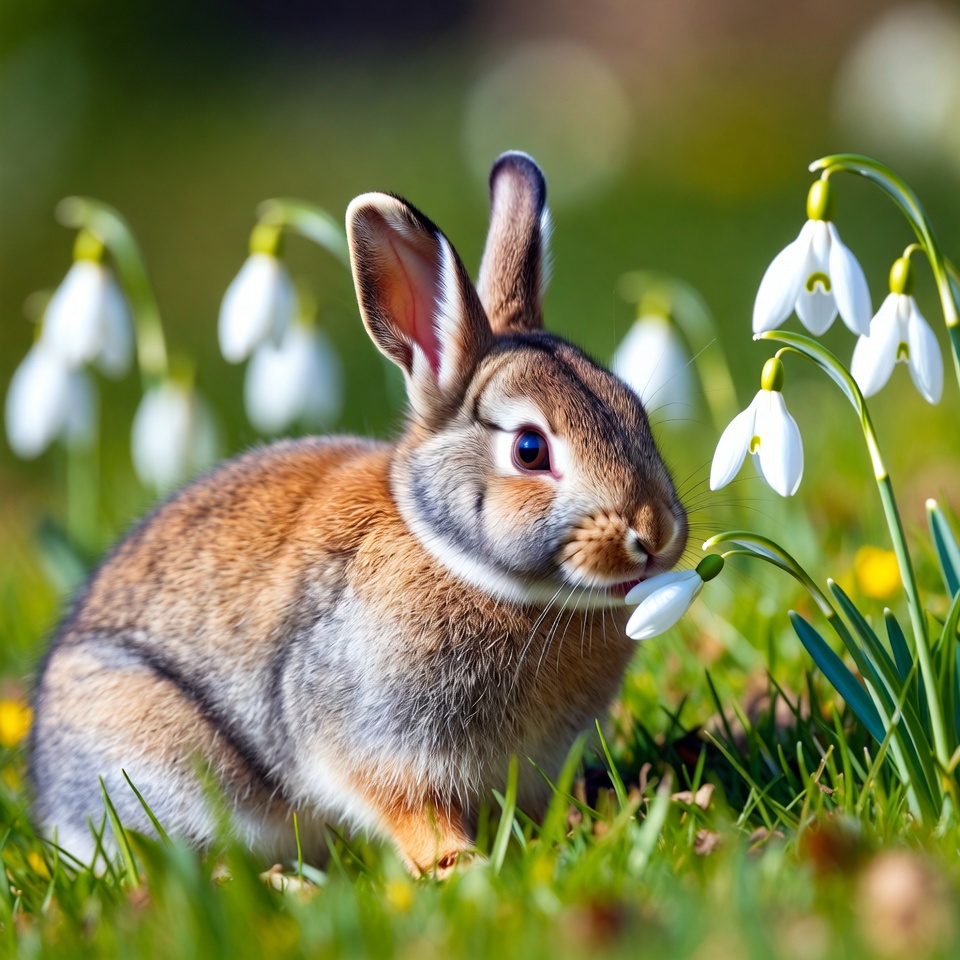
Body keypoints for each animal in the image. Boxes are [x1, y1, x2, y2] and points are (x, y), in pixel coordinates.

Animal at [30, 152, 688, 876]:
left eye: (635, 411)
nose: (655, 533)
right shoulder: (377, 743)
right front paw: (458, 866)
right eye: (529, 449)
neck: (455, 557)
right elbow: (408, 809)